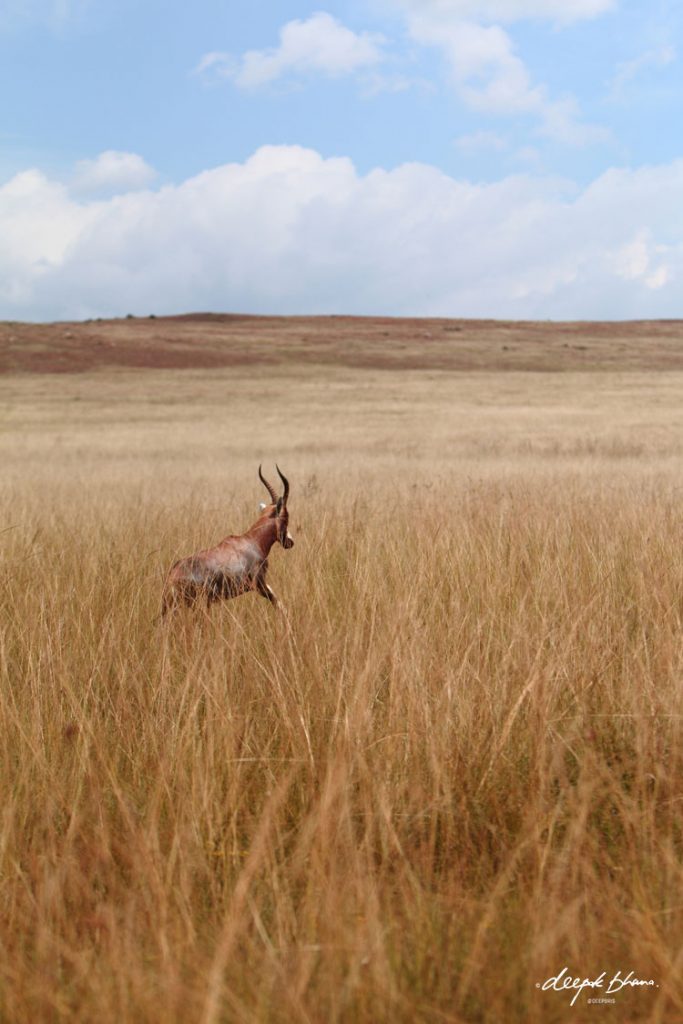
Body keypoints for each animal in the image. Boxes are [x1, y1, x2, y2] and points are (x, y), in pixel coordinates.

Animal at [163, 464, 296, 614]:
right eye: (286, 518)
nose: (290, 542)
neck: (252, 541)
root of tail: (173, 576)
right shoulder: (259, 585)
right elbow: (278, 604)